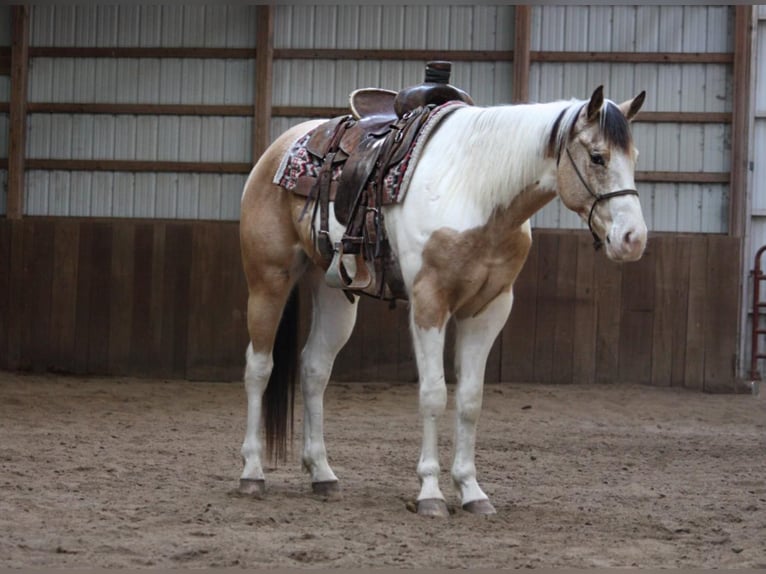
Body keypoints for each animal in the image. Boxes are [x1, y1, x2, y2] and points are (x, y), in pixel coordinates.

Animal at [237, 79, 644, 520]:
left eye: (634, 156)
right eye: (598, 156)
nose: (633, 238)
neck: (475, 189)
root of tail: (281, 148)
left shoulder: (489, 309)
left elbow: (469, 400)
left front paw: (471, 491)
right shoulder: (429, 302)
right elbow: (433, 395)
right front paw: (430, 492)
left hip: (334, 295)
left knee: (314, 370)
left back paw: (323, 474)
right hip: (268, 281)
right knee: (259, 367)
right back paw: (252, 472)